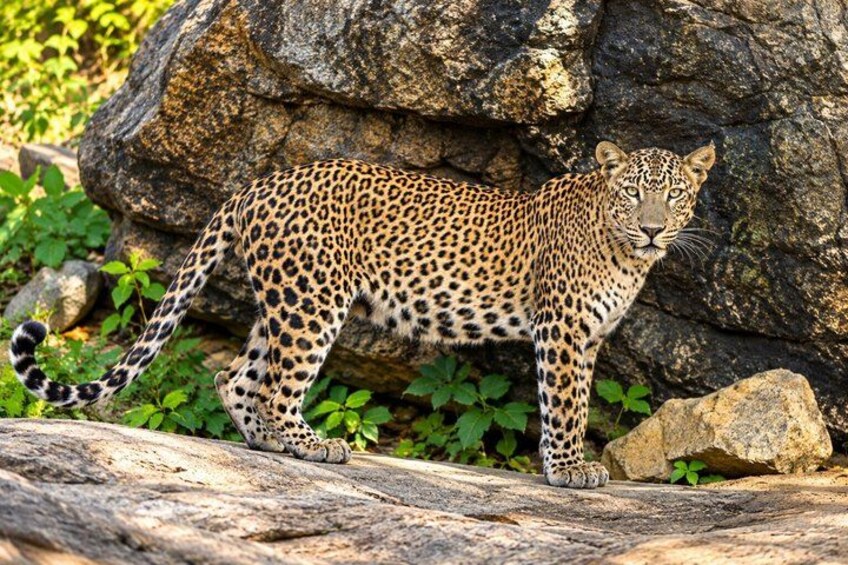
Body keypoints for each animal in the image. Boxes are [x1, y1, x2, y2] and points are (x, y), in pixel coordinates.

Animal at [10, 141, 716, 489]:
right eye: (633, 193)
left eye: (675, 194)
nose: (653, 229)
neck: (623, 252)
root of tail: (256, 184)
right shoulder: (563, 331)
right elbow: (565, 406)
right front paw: (570, 472)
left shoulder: (591, 337)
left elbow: (581, 403)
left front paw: (568, 466)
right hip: (313, 303)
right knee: (276, 387)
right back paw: (314, 445)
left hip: (281, 302)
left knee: (235, 376)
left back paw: (268, 444)